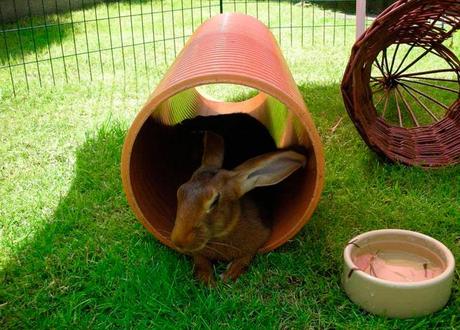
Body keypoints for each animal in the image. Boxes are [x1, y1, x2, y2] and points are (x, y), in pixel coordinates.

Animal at [170, 131, 306, 284]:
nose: (178, 242)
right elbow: (200, 260)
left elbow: (246, 256)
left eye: (215, 201)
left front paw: (229, 275)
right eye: (180, 191)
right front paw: (207, 280)